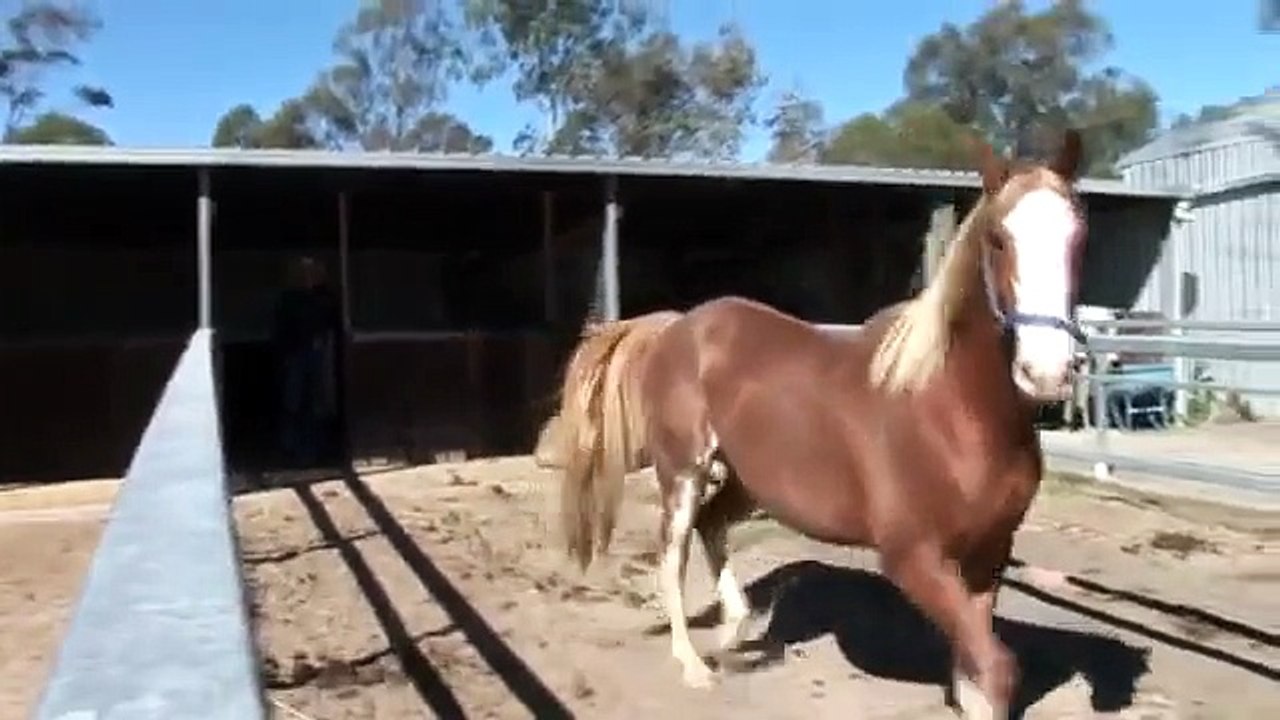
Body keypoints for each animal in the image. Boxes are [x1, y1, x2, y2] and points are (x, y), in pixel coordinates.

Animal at [549, 129, 1087, 720]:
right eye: (997, 238)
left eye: (1078, 236)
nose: (1047, 372)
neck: (951, 414)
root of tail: (676, 324)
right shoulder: (913, 557)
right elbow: (995, 667)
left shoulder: (988, 555)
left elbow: (978, 675)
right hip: (684, 471)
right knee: (674, 554)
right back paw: (693, 666)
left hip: (749, 480)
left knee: (713, 528)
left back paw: (734, 634)